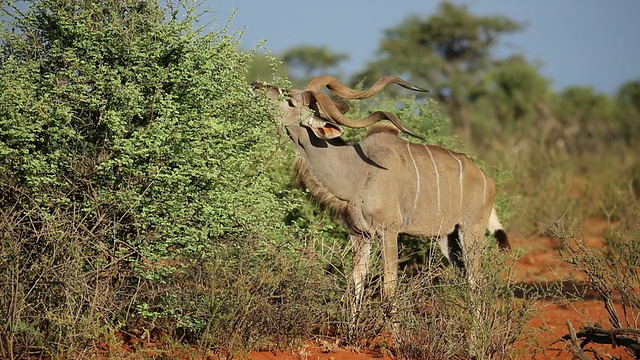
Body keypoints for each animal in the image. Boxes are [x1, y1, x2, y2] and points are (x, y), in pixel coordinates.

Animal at [252, 75, 508, 312]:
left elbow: (389, 289)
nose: (256, 85)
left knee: (476, 283)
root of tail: (487, 180)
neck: (357, 172)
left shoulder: (389, 232)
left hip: (471, 232)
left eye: (290, 101)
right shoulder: (359, 235)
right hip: (448, 239)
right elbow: (355, 289)